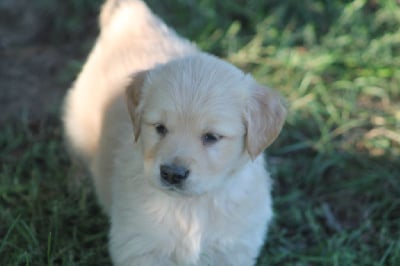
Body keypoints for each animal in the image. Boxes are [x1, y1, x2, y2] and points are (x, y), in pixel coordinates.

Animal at [62, 0, 286, 266]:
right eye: (160, 128)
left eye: (211, 137)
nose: (172, 174)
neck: (190, 206)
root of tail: (133, 18)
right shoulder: (140, 247)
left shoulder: (232, 249)